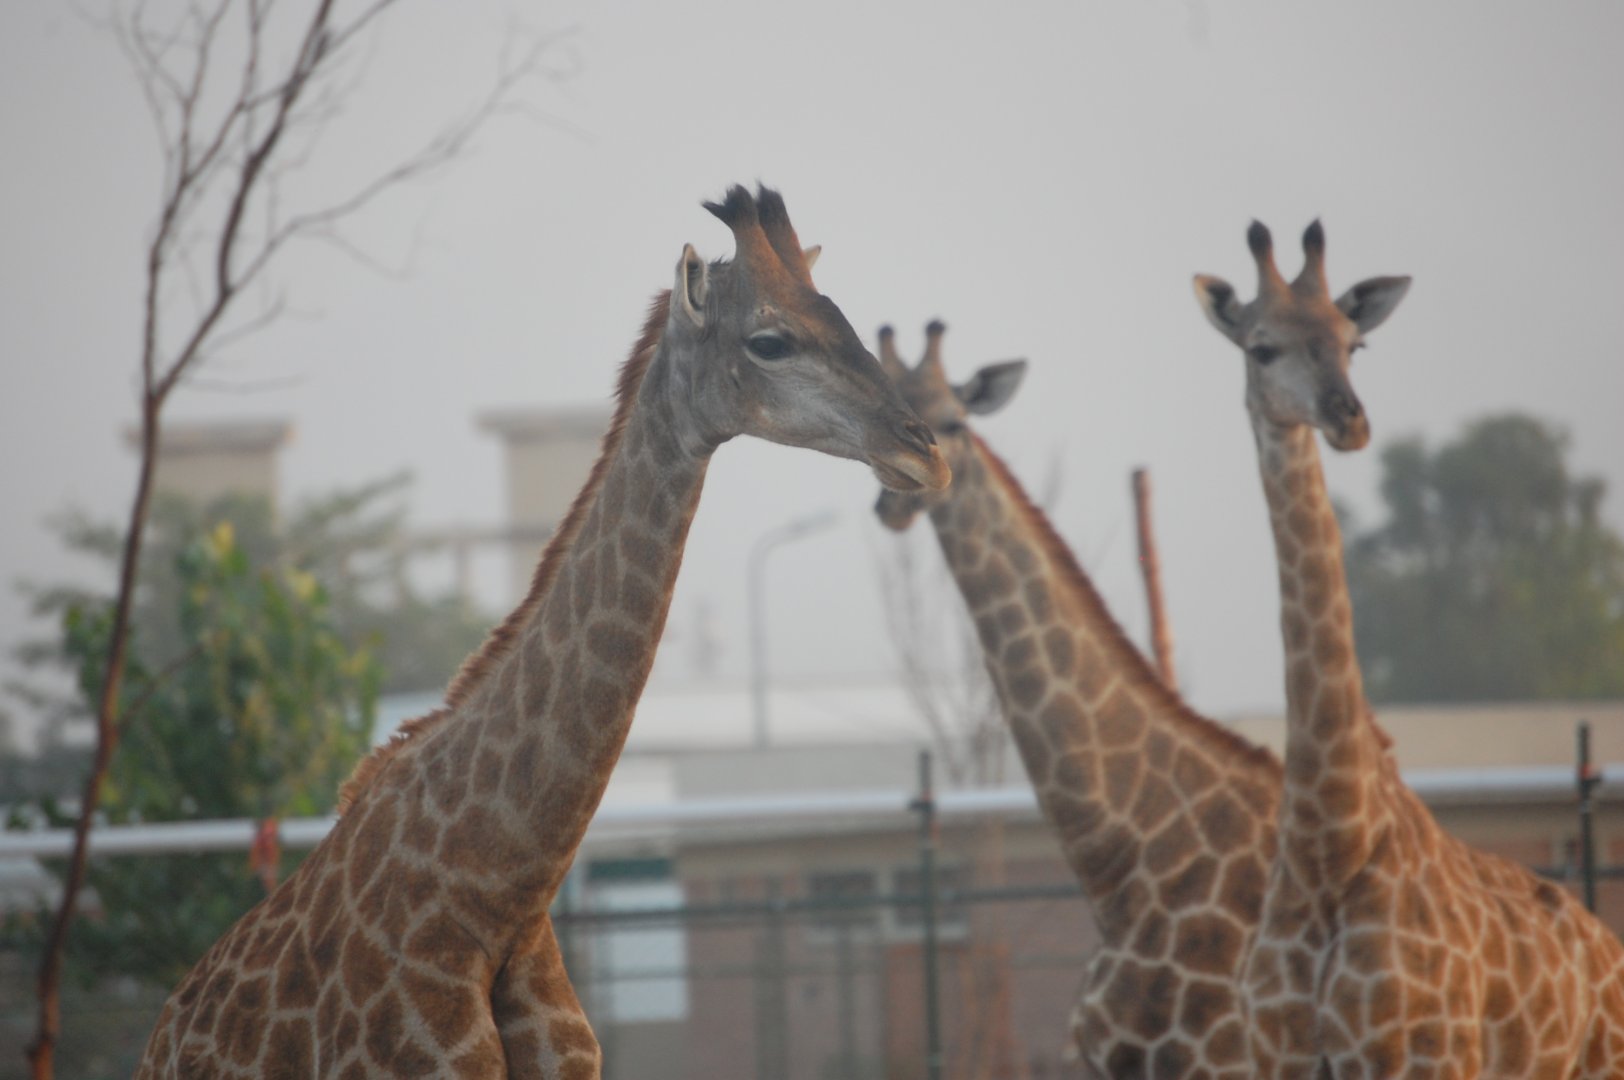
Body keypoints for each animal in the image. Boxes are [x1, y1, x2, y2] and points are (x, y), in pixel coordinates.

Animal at [1194, 220, 1624, 1078]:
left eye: (1354, 343)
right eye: (1262, 348)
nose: (1349, 420)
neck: (1330, 844)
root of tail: (1607, 948)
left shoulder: (1416, 1056)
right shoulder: (1275, 1056)